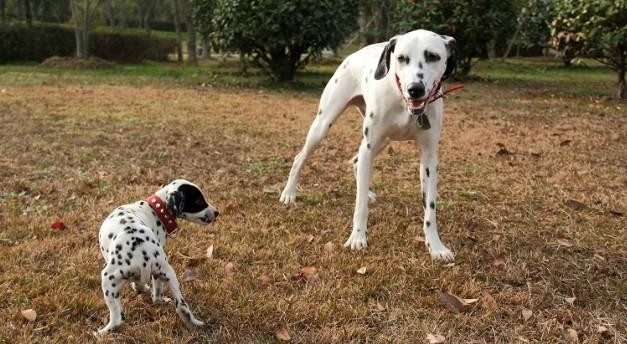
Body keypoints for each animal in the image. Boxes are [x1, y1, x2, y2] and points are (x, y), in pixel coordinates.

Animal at [94, 179, 220, 334]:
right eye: (198, 201)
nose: (217, 212)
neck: (154, 210)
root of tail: (142, 255)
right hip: (168, 273)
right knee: (177, 305)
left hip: (108, 279)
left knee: (118, 319)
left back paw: (101, 333)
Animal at [282, 29, 458, 260]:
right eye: (401, 58)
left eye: (433, 56)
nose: (415, 89)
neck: (404, 103)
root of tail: (354, 55)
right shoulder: (369, 146)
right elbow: (360, 206)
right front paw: (358, 238)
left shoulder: (429, 158)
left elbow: (430, 208)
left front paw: (436, 246)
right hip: (324, 126)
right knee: (300, 158)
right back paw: (289, 193)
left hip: (381, 142)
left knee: (356, 161)